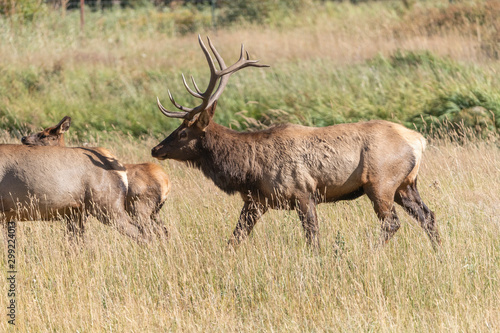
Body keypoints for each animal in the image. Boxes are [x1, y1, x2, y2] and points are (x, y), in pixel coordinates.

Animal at [21, 115, 172, 237]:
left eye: (44, 135)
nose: (24, 137)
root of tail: (166, 182)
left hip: (140, 207)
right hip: (154, 211)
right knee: (163, 231)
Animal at [150, 35, 440, 249]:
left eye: (183, 132)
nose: (155, 149)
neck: (248, 169)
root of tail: (418, 140)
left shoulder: (302, 191)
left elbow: (312, 238)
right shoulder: (256, 201)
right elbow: (235, 237)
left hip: (381, 183)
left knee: (391, 223)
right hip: (406, 184)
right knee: (428, 216)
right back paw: (438, 252)